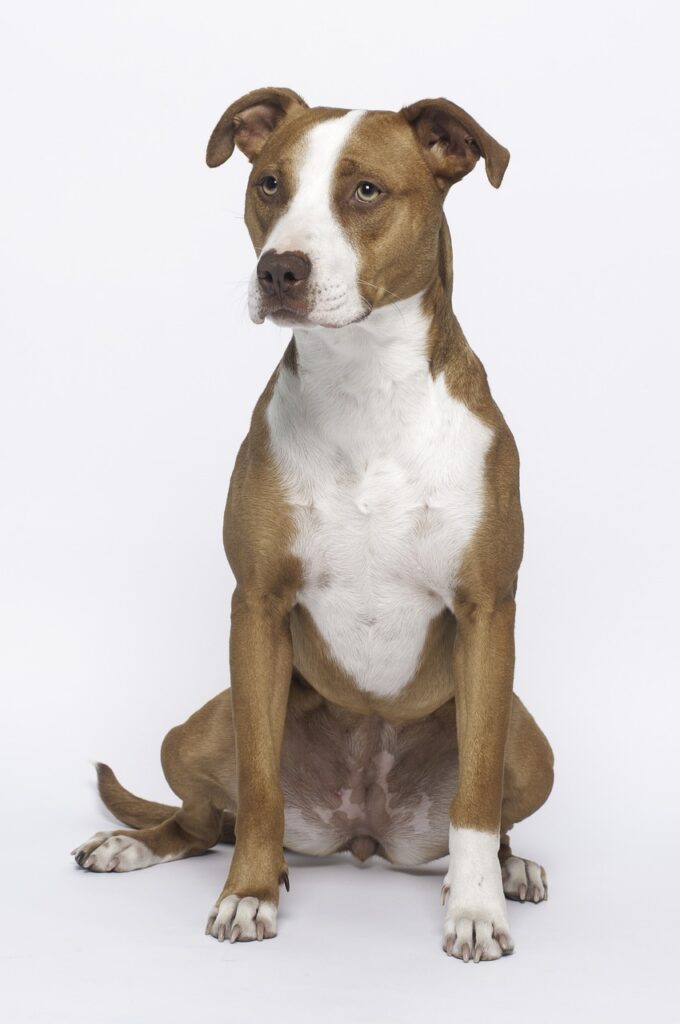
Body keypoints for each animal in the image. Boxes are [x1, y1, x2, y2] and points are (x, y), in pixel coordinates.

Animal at [73, 86, 553, 958]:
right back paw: (133, 845)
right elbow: (259, 784)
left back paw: (513, 870)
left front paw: (475, 909)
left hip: (534, 747)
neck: (364, 384)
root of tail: (364, 833)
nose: (279, 270)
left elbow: (474, 796)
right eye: (269, 183)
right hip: (195, 730)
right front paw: (249, 896)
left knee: (496, 811)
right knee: (203, 820)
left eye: (365, 191)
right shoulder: (257, 606)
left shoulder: (486, 609)